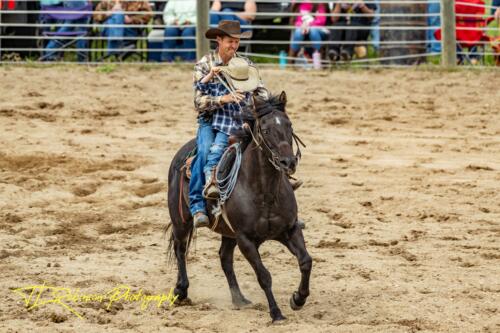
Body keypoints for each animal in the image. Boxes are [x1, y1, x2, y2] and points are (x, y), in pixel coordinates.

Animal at [166, 91, 310, 322]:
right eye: (266, 129)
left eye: (289, 125)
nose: (288, 162)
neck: (265, 193)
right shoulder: (246, 239)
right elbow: (263, 276)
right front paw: (276, 313)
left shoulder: (290, 229)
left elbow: (305, 261)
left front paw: (298, 299)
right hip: (180, 220)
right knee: (181, 249)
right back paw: (181, 291)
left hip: (228, 233)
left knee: (224, 258)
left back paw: (239, 298)